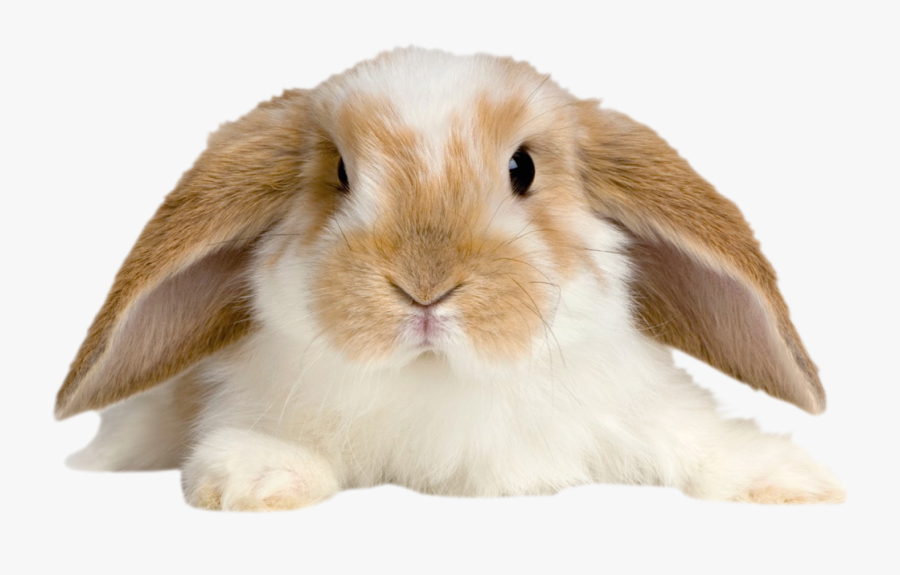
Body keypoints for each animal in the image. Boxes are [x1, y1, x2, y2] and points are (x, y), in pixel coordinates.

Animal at [56, 47, 844, 510]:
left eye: (523, 168)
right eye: (339, 173)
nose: (425, 286)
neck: (441, 379)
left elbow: (694, 439)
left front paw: (787, 479)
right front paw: (257, 475)